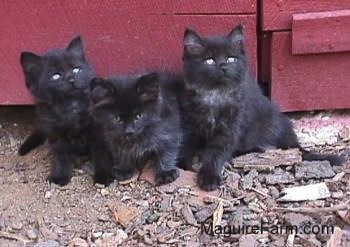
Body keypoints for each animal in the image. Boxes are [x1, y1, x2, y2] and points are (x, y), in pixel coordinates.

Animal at [18, 36, 109, 185]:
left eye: (76, 70)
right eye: (56, 76)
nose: (71, 80)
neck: (71, 106)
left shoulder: (99, 132)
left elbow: (102, 154)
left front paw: (104, 176)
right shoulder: (56, 135)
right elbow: (60, 157)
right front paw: (59, 176)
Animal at [179, 25, 344, 191]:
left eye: (231, 58)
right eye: (209, 60)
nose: (223, 66)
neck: (215, 95)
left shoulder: (231, 126)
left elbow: (216, 152)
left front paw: (209, 176)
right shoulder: (190, 122)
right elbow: (185, 144)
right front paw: (182, 166)